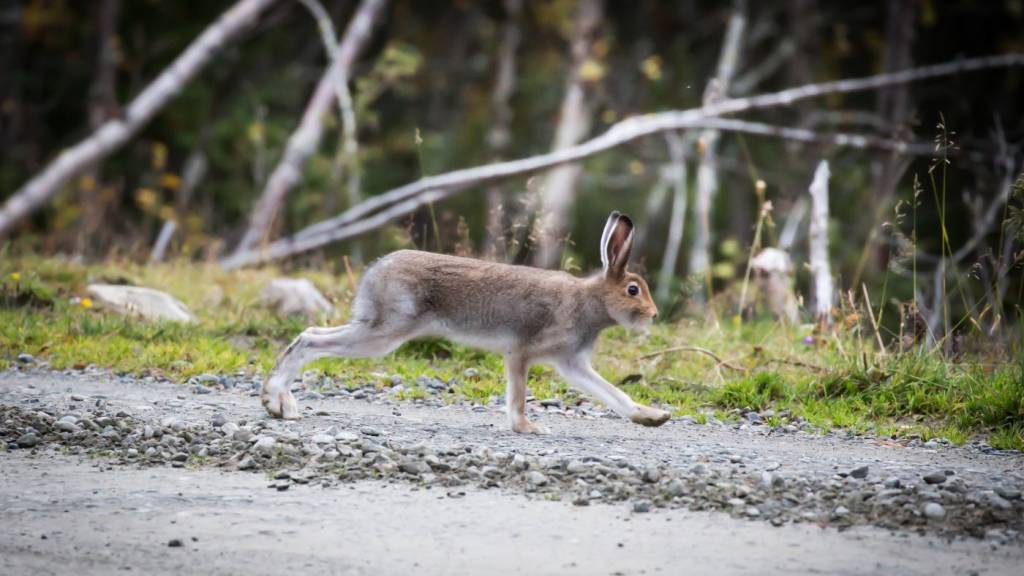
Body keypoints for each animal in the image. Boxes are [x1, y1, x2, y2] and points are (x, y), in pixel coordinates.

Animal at [261, 211, 671, 433]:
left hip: (377, 327)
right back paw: (278, 402)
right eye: (633, 289)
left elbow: (613, 393)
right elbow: (518, 396)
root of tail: (375, 271)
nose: (654, 315)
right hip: (385, 331)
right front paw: (528, 427)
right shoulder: (523, 352)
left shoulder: (572, 363)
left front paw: (652, 417)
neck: (590, 300)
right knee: (310, 339)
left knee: (310, 334)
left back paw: (279, 402)